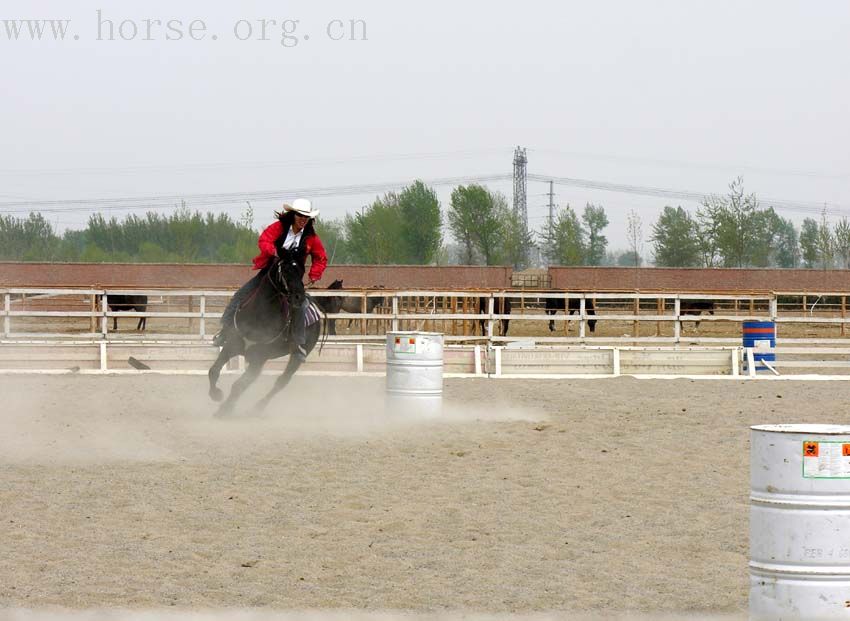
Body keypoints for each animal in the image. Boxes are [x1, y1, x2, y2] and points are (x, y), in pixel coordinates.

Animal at [205, 256, 324, 416]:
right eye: (284, 271)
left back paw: (258, 408)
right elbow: (214, 371)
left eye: (301, 271)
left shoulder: (259, 358)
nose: (298, 297)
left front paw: (225, 409)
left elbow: (239, 385)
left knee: (282, 381)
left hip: (295, 357)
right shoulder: (231, 346)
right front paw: (216, 395)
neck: (259, 314)